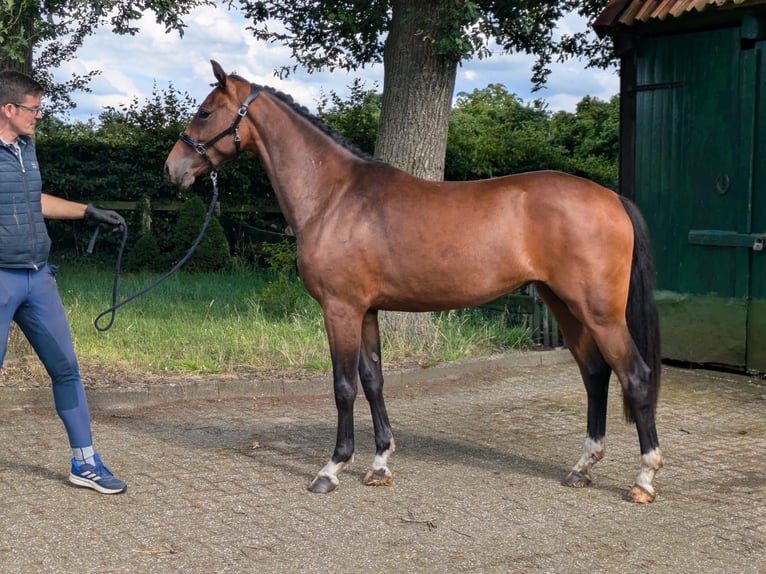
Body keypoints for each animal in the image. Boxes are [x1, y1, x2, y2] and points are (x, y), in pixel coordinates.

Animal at [164, 59, 664, 504]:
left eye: (205, 111)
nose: (173, 168)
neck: (335, 196)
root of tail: (612, 198)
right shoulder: (366, 309)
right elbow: (373, 380)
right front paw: (380, 463)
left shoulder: (340, 309)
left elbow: (343, 386)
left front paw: (332, 468)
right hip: (564, 305)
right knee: (595, 373)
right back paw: (582, 468)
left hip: (599, 312)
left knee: (635, 376)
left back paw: (644, 478)